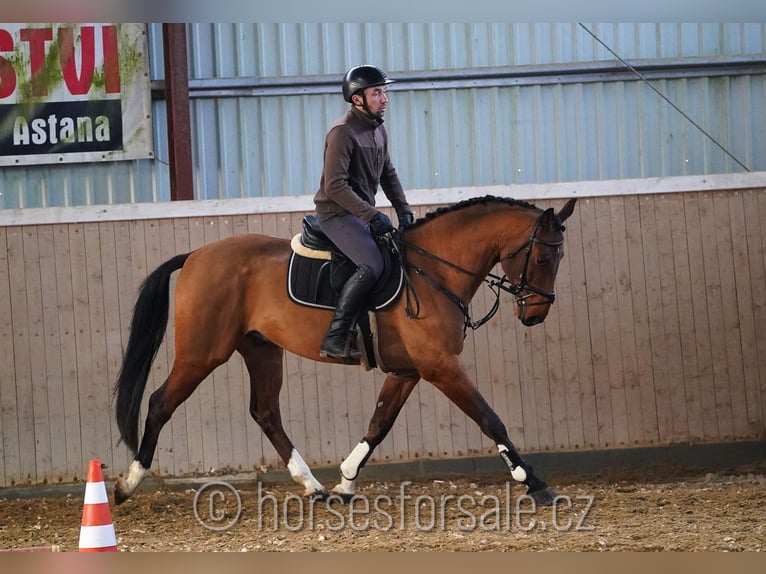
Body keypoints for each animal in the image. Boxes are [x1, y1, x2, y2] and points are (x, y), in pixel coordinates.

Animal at [115, 197, 576, 508]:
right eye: (542, 257)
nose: (536, 314)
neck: (433, 270)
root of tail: (195, 255)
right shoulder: (440, 367)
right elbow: (490, 419)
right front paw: (535, 483)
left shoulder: (408, 371)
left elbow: (379, 424)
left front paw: (345, 481)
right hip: (202, 353)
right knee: (160, 402)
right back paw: (126, 484)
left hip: (262, 350)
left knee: (265, 412)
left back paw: (313, 486)